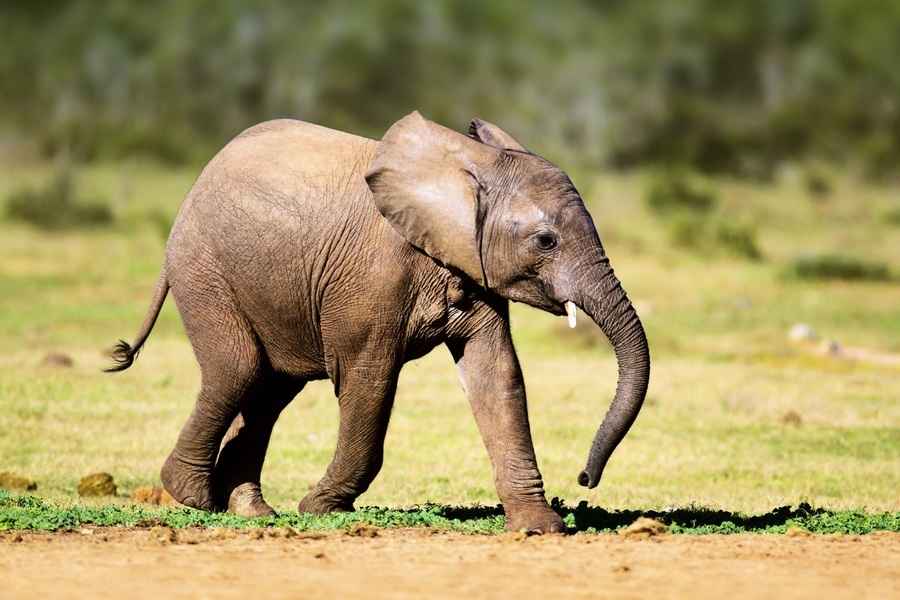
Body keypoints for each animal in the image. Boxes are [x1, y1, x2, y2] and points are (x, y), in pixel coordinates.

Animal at [109, 112, 652, 536]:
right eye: (545, 241)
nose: (585, 479)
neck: (467, 168)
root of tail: (196, 184)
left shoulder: (469, 265)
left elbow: (497, 375)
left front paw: (538, 528)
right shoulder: (373, 278)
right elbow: (368, 380)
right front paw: (320, 508)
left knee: (269, 390)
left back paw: (253, 512)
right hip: (204, 269)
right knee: (238, 370)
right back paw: (193, 496)